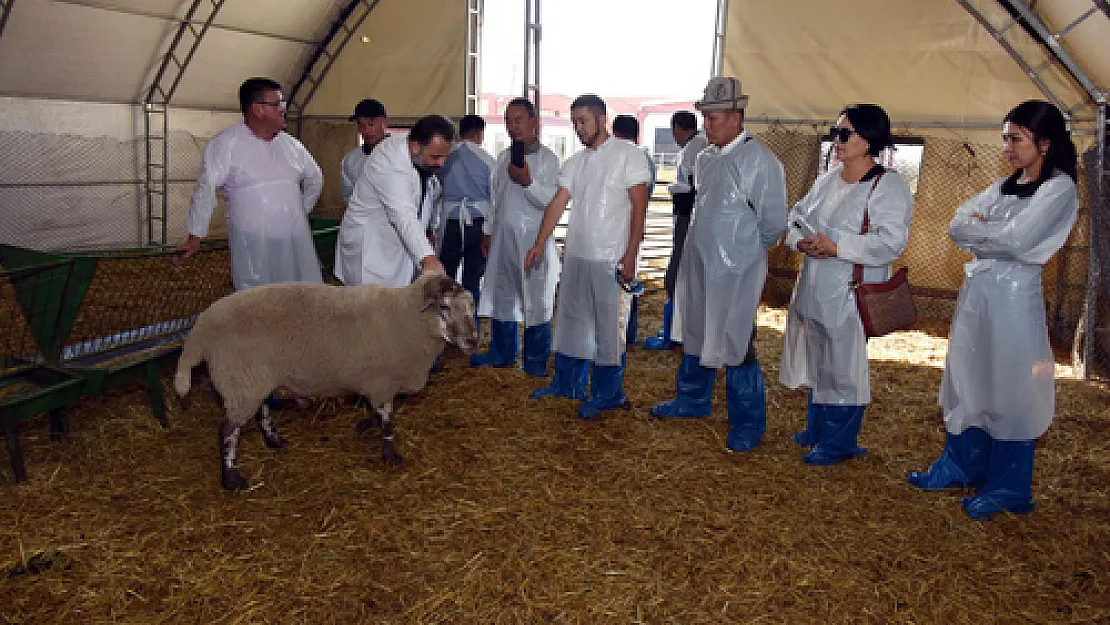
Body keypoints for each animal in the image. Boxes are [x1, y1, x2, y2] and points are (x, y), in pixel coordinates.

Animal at [175, 271, 479, 490]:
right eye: (444, 306)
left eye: (471, 305)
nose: (474, 340)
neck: (407, 316)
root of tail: (199, 332)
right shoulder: (383, 380)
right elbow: (388, 420)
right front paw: (390, 455)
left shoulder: (378, 381)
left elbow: (380, 410)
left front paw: (367, 424)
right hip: (240, 379)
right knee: (227, 431)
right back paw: (232, 480)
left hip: (254, 377)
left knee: (261, 409)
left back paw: (274, 440)